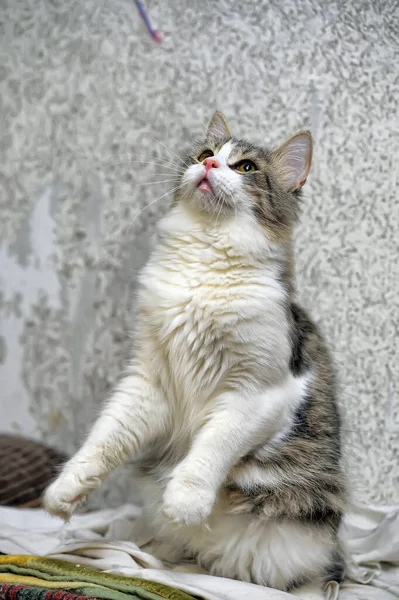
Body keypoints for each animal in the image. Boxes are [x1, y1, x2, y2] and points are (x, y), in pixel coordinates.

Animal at [44, 112, 346, 596]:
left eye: (245, 167)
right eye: (206, 154)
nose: (208, 167)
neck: (204, 260)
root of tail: (221, 566)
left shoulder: (257, 394)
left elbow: (210, 448)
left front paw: (185, 501)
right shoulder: (149, 383)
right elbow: (104, 439)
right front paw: (65, 491)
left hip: (302, 549)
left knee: (309, 581)